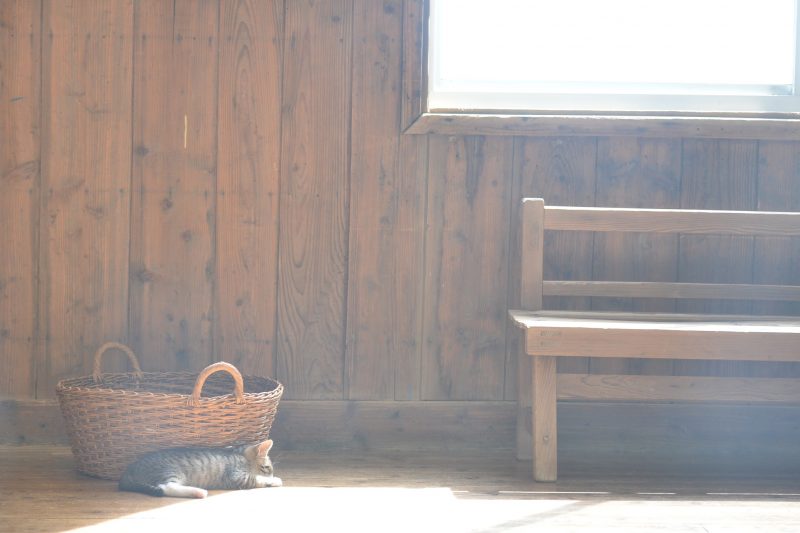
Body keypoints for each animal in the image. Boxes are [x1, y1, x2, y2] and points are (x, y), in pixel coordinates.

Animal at [117, 438, 282, 496]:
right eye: (267, 468)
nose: (271, 474)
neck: (238, 454)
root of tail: (127, 472)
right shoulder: (235, 476)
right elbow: (256, 479)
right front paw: (275, 480)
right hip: (169, 470)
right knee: (166, 487)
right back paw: (198, 492)